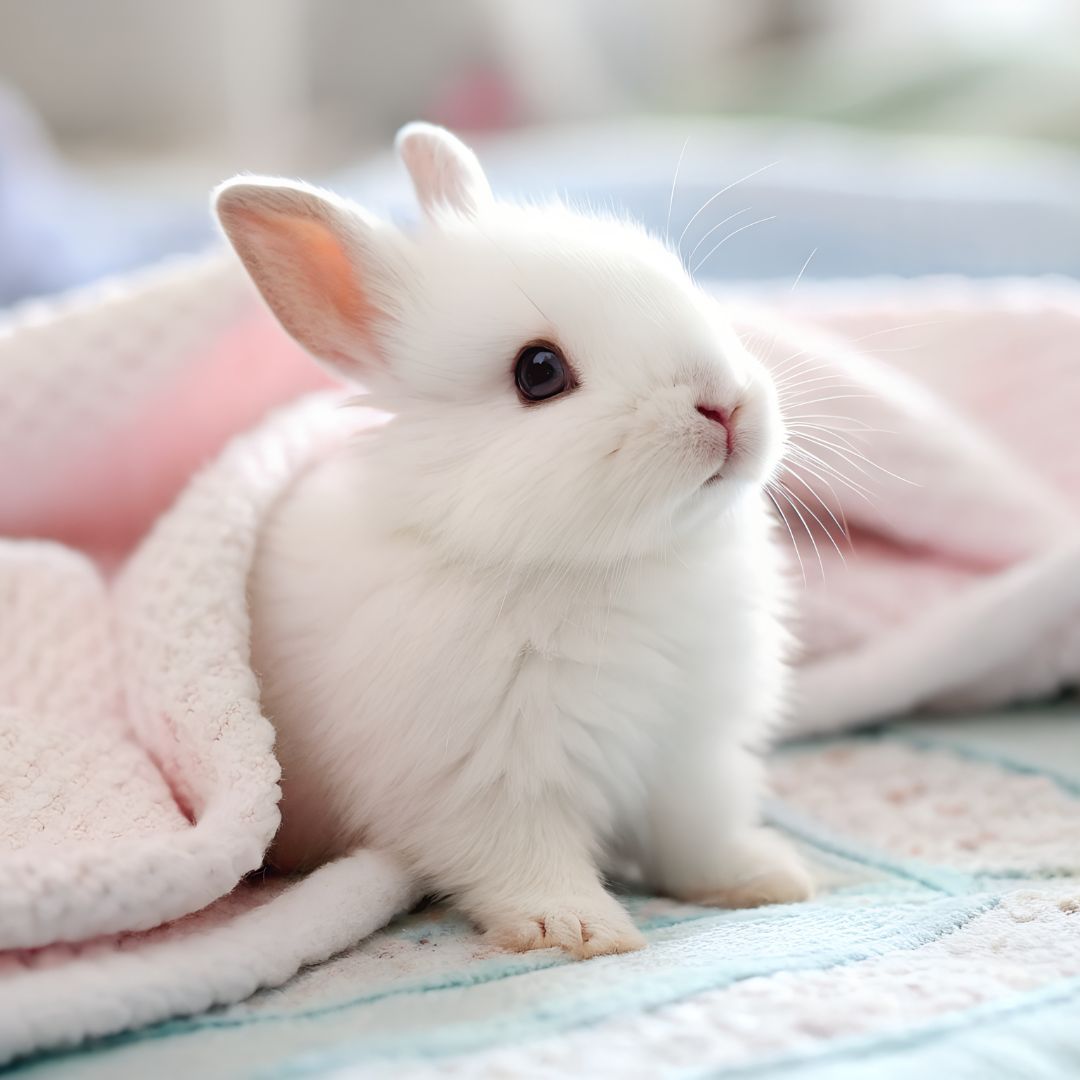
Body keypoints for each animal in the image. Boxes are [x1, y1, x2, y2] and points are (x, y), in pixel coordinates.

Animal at [215, 122, 813, 960]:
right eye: (539, 372)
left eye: (680, 283)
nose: (724, 405)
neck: (607, 567)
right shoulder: (486, 779)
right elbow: (525, 861)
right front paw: (576, 929)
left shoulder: (688, 754)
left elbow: (696, 836)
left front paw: (766, 878)